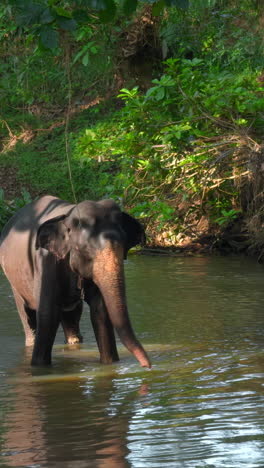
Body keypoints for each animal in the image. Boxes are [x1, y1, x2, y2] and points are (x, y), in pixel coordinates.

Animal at [0, 195, 152, 370]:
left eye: (123, 246)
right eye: (83, 249)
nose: (147, 366)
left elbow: (100, 312)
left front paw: (109, 364)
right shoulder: (46, 262)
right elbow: (47, 314)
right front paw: (39, 368)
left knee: (72, 316)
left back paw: (74, 342)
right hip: (14, 280)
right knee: (27, 316)